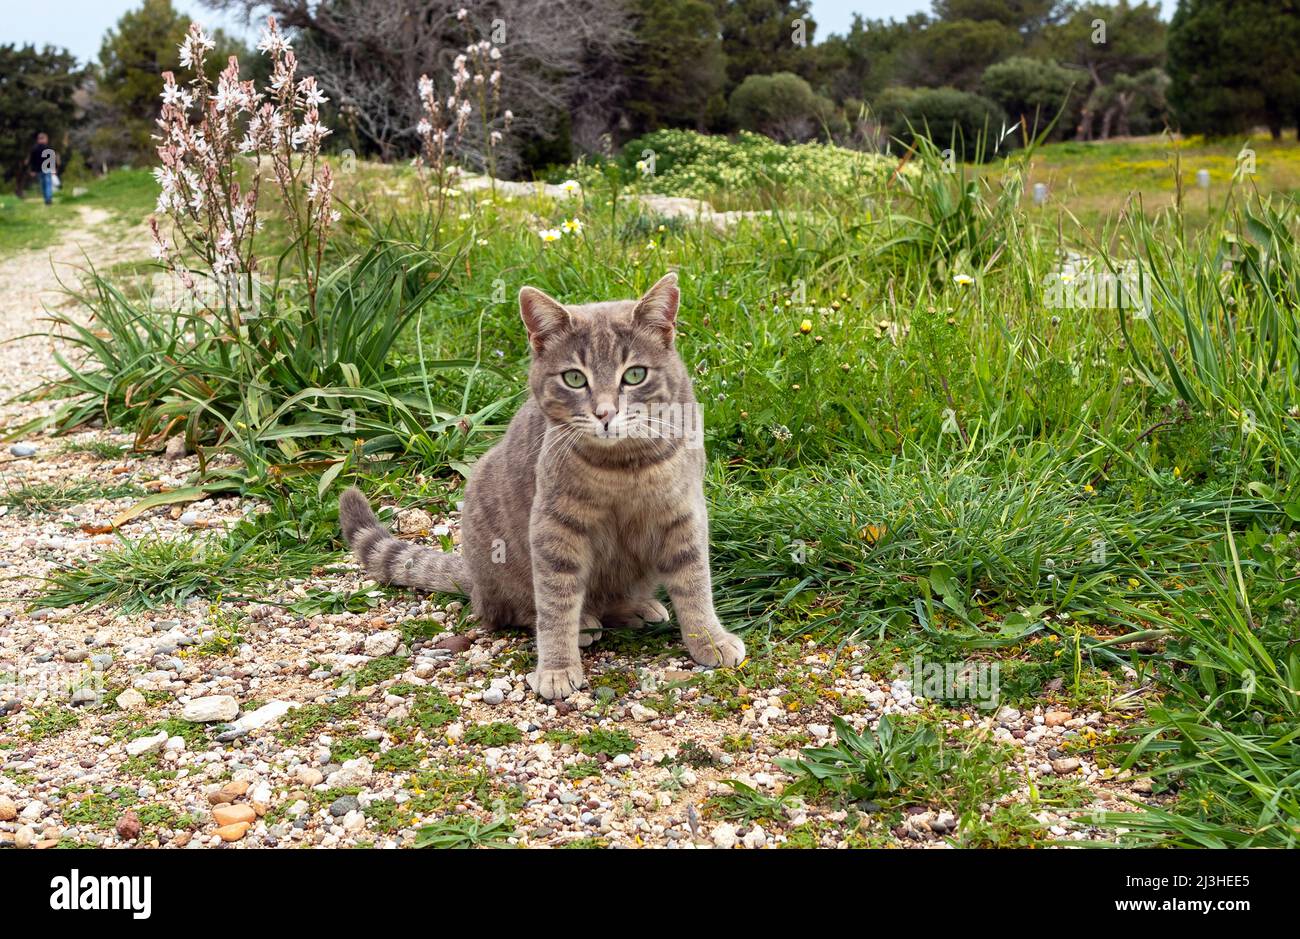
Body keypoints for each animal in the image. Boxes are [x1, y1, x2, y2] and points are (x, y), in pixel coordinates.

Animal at [338, 270, 743, 697]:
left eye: (635, 375)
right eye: (574, 378)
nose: (605, 413)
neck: (623, 467)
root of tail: (474, 579)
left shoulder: (682, 513)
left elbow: (694, 583)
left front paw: (709, 639)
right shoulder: (555, 527)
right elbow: (556, 604)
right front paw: (557, 667)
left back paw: (636, 607)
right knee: (518, 609)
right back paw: (585, 623)